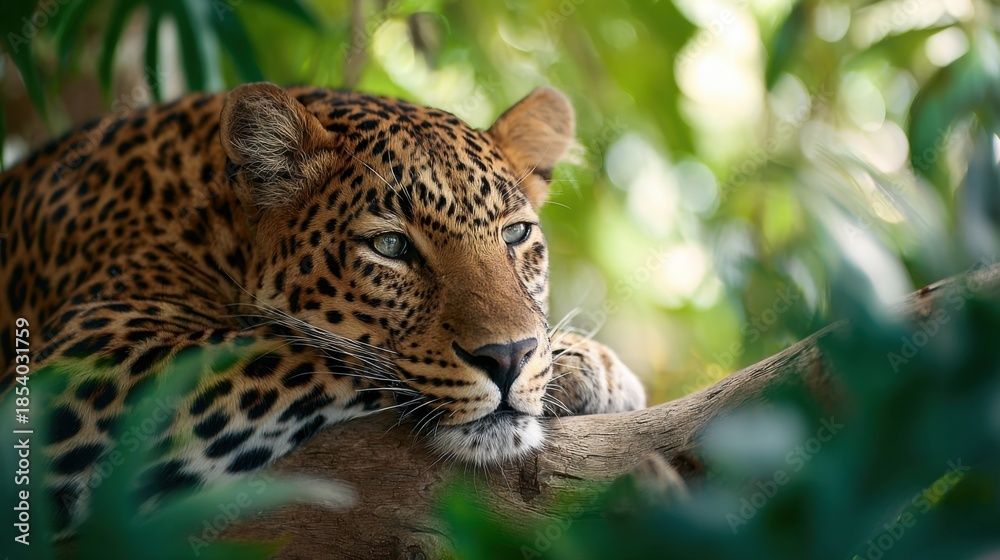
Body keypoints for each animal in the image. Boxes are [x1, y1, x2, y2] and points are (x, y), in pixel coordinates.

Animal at [0, 82, 645, 531]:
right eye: (390, 247)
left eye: (515, 234)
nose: (508, 357)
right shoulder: (80, 364)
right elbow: (305, 347)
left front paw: (585, 366)